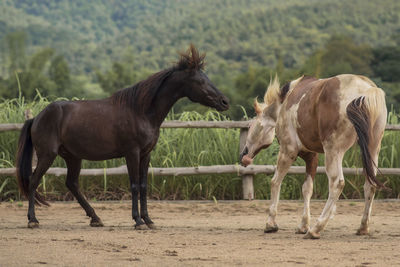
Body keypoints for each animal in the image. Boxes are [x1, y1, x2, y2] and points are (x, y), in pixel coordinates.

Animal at [16, 45, 228, 230]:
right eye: (200, 81)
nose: (224, 102)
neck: (140, 111)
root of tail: (37, 117)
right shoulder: (132, 153)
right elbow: (134, 185)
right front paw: (138, 221)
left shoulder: (146, 155)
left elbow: (143, 186)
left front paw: (149, 220)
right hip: (47, 155)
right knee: (33, 181)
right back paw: (33, 220)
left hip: (73, 157)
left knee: (72, 184)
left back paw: (95, 218)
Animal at [241, 74, 388, 240]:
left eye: (250, 126)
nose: (244, 155)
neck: (285, 102)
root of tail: (367, 90)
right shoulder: (311, 156)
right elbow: (307, 188)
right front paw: (303, 225)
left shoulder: (288, 151)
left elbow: (275, 182)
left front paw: (271, 224)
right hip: (373, 148)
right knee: (370, 184)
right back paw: (363, 227)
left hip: (333, 151)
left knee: (337, 183)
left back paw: (316, 228)